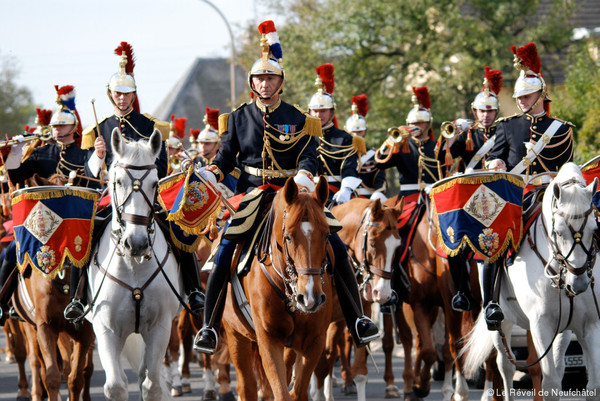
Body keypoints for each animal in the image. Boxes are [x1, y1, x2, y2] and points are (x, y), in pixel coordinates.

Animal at [86, 129, 180, 400]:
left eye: (155, 184)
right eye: (117, 181)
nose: (136, 243)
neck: (133, 266)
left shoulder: (160, 328)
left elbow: (152, 385)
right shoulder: (106, 330)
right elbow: (115, 386)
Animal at [223, 177, 332, 400]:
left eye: (326, 235)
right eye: (288, 237)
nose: (310, 298)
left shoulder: (314, 342)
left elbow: (296, 392)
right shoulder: (268, 340)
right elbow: (281, 393)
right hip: (235, 334)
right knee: (247, 386)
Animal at [310, 198, 404, 400]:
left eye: (398, 247)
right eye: (373, 243)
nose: (383, 294)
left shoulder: (359, 316)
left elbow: (359, 371)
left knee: (330, 355)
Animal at [464, 161, 600, 398]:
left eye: (594, 229)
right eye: (559, 232)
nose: (579, 283)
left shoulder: (589, 325)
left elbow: (594, 385)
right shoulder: (541, 325)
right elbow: (550, 384)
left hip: (562, 331)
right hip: (502, 326)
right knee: (505, 368)